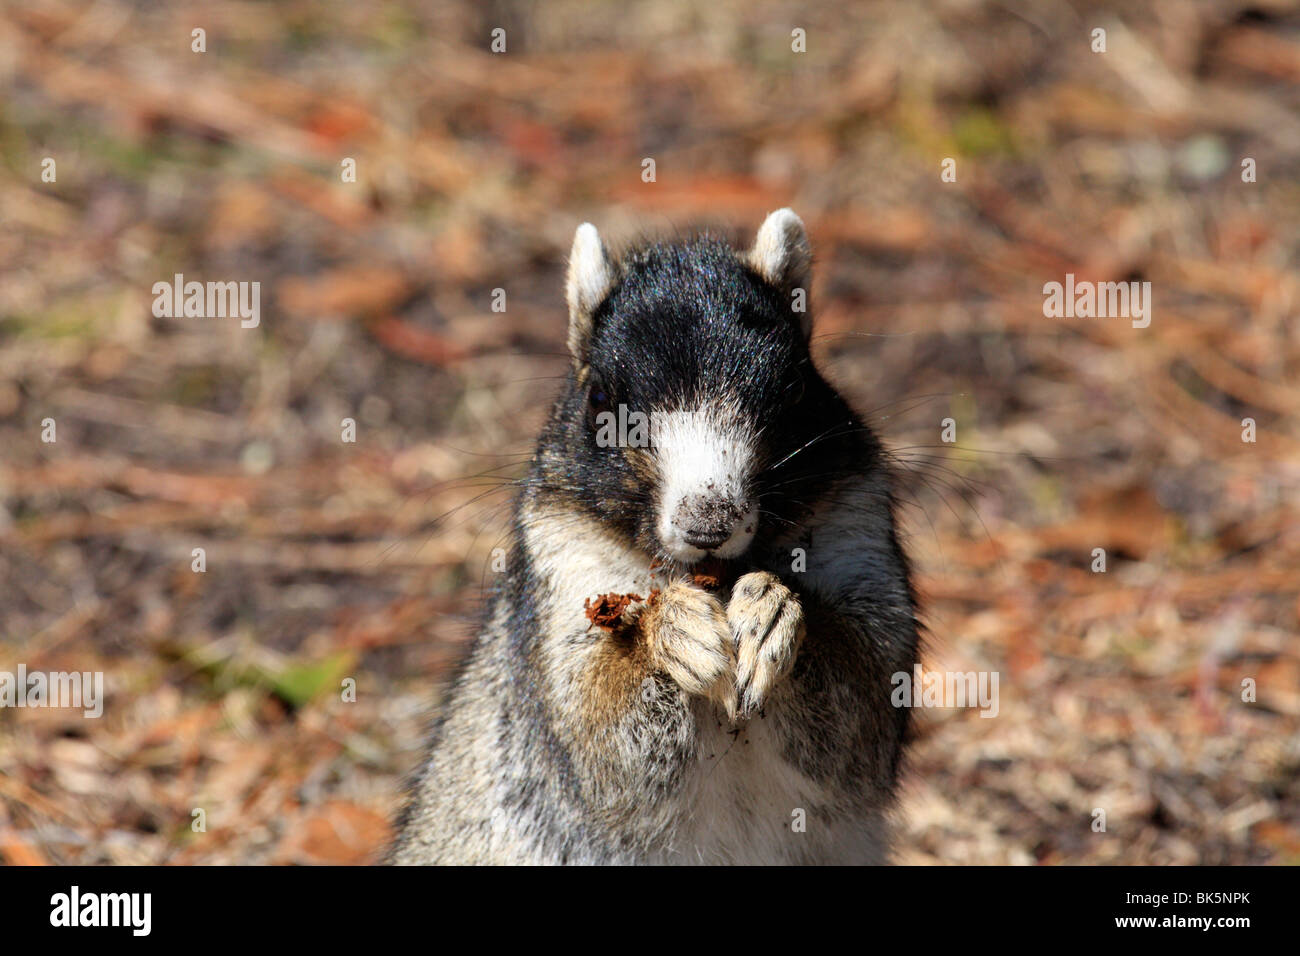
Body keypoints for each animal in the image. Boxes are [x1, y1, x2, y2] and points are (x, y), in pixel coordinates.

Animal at [389, 209, 920, 864]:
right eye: (597, 398)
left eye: (799, 388)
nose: (709, 521)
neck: (710, 578)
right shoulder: (563, 571)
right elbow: (599, 732)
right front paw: (672, 631)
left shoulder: (859, 534)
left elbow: (867, 707)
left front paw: (772, 616)